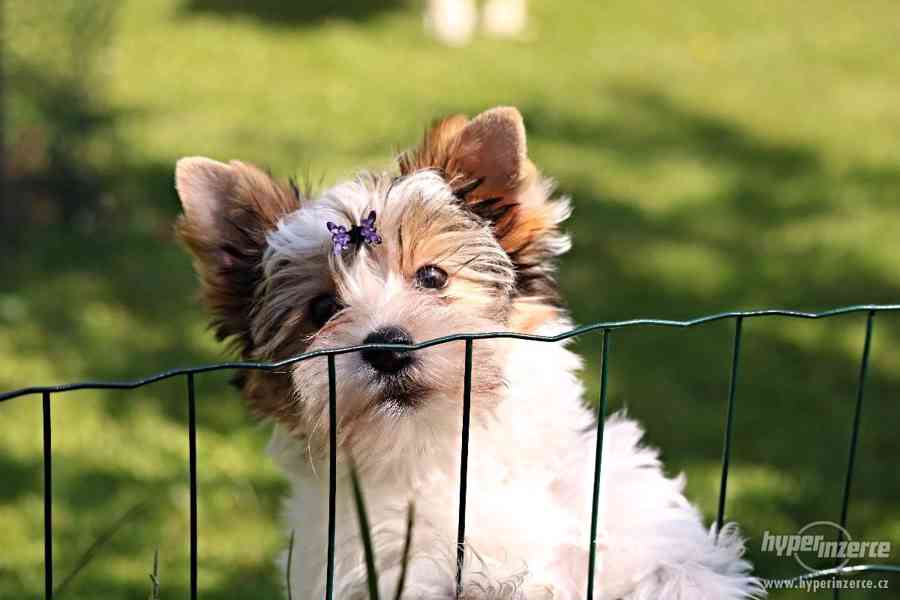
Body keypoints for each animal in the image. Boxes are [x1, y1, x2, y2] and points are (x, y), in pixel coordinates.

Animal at [172, 105, 764, 596]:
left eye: (433, 276)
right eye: (321, 309)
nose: (387, 347)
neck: (445, 450)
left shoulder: (623, 512)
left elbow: (679, 570)